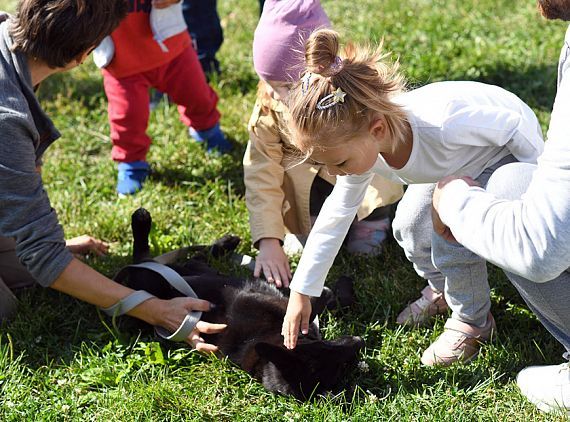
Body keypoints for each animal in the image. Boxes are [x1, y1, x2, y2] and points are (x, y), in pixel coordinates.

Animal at [121, 209, 362, 400]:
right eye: (324, 348)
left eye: (343, 367)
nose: (359, 341)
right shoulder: (265, 300)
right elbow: (313, 304)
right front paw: (330, 290)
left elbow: (328, 302)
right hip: (158, 278)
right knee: (157, 258)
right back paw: (143, 222)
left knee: (191, 258)